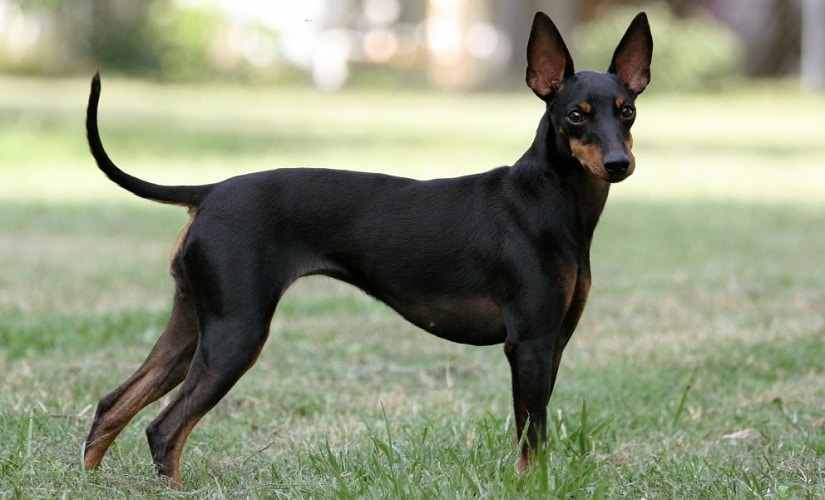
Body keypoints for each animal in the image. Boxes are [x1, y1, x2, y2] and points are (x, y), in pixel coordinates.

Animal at [82, 12, 652, 488]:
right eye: (575, 116)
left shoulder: (554, 343)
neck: (550, 200)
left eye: (627, 111)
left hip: (193, 328)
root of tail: (210, 191)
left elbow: (538, 433)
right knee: (164, 429)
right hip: (236, 334)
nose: (619, 163)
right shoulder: (529, 344)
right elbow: (532, 439)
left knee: (112, 406)